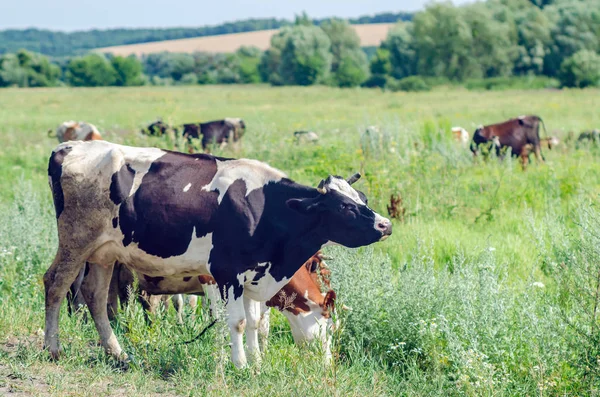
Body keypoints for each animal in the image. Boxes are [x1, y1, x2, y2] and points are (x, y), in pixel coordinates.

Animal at [44, 140, 392, 368]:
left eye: (362, 198)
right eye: (345, 207)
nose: (385, 224)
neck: (265, 209)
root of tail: (69, 147)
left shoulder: (253, 275)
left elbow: (254, 324)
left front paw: (256, 363)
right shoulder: (225, 274)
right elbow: (235, 322)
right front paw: (239, 366)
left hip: (104, 253)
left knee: (95, 296)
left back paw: (119, 354)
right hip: (76, 240)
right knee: (55, 285)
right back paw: (53, 349)